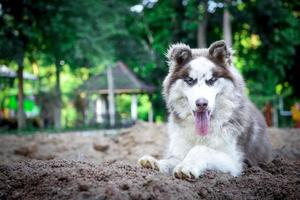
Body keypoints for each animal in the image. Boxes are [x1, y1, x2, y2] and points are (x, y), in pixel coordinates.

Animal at [138, 39, 272, 179]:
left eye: (211, 80)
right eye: (190, 80)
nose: (202, 103)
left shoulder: (235, 161)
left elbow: (200, 149)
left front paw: (186, 166)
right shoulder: (180, 150)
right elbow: (171, 159)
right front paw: (155, 163)